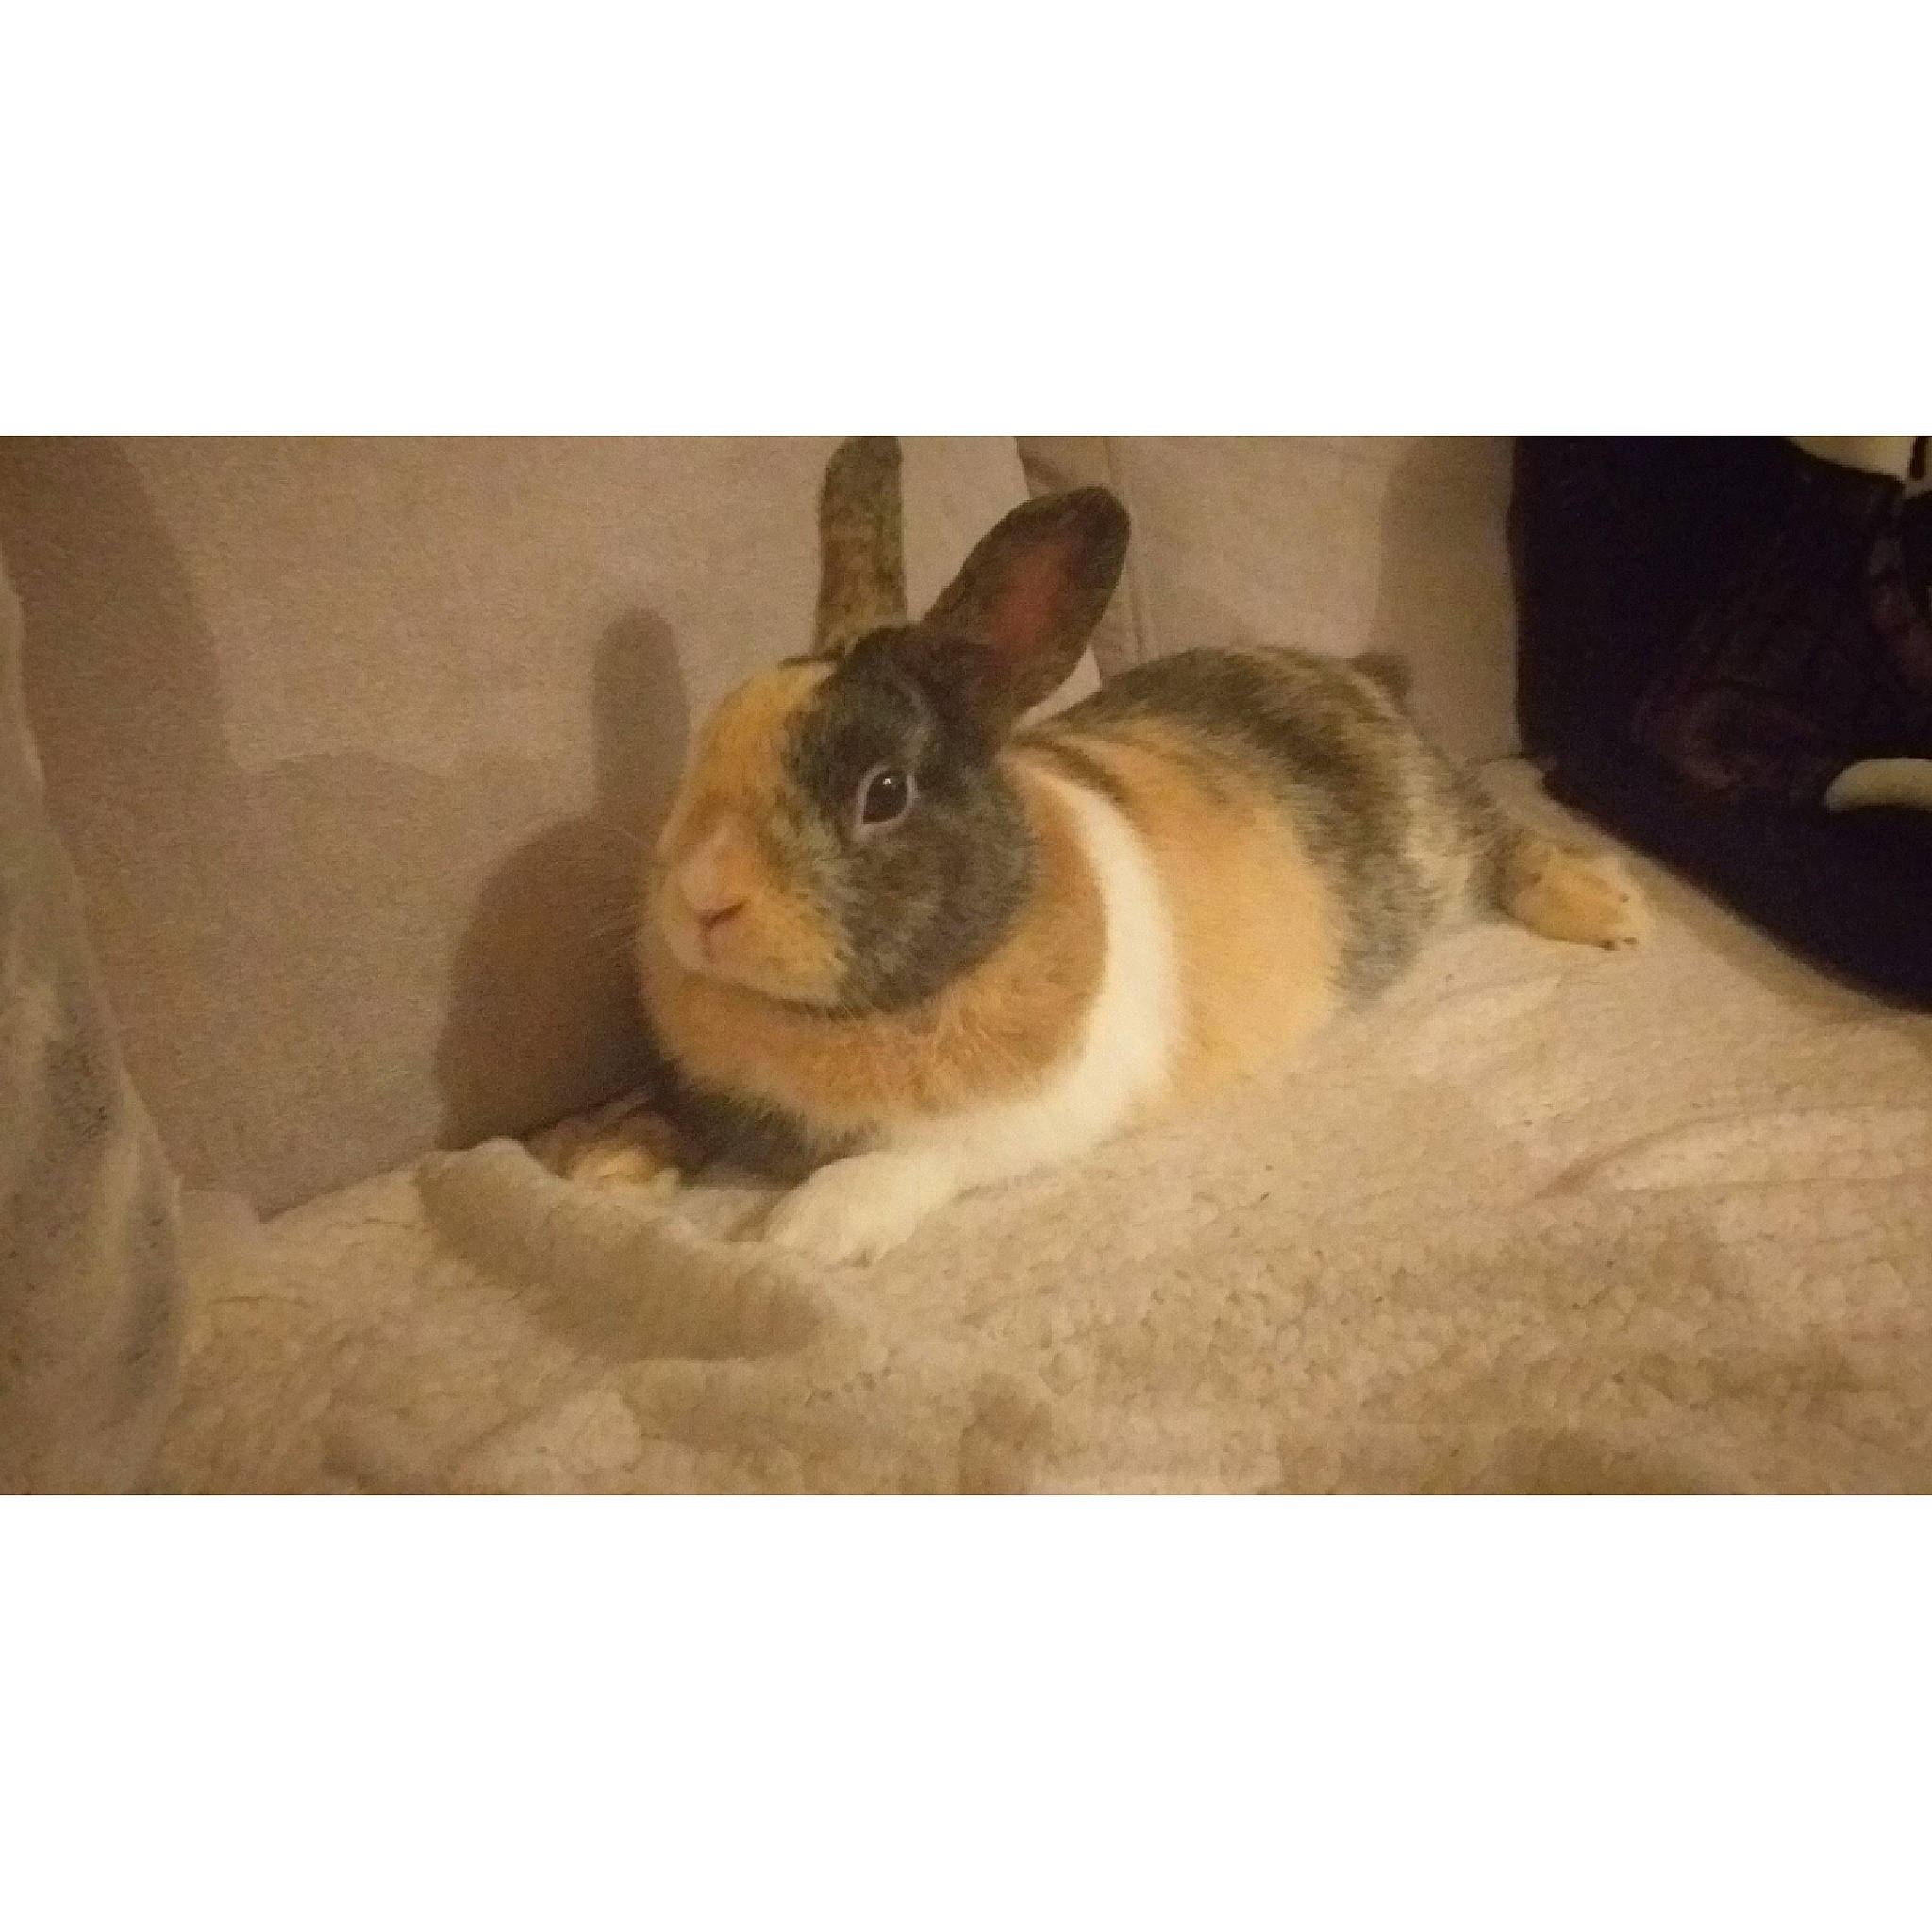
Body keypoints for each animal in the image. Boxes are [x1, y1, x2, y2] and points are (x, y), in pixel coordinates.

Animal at [566, 437, 1644, 1266]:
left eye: (885, 793)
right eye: (705, 745)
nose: (701, 899)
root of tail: (1355, 677)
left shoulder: (1032, 1115)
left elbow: (917, 1157)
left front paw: (804, 1228)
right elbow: (663, 1103)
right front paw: (605, 1163)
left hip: (1430, 838)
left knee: (1494, 833)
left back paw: (1606, 909)